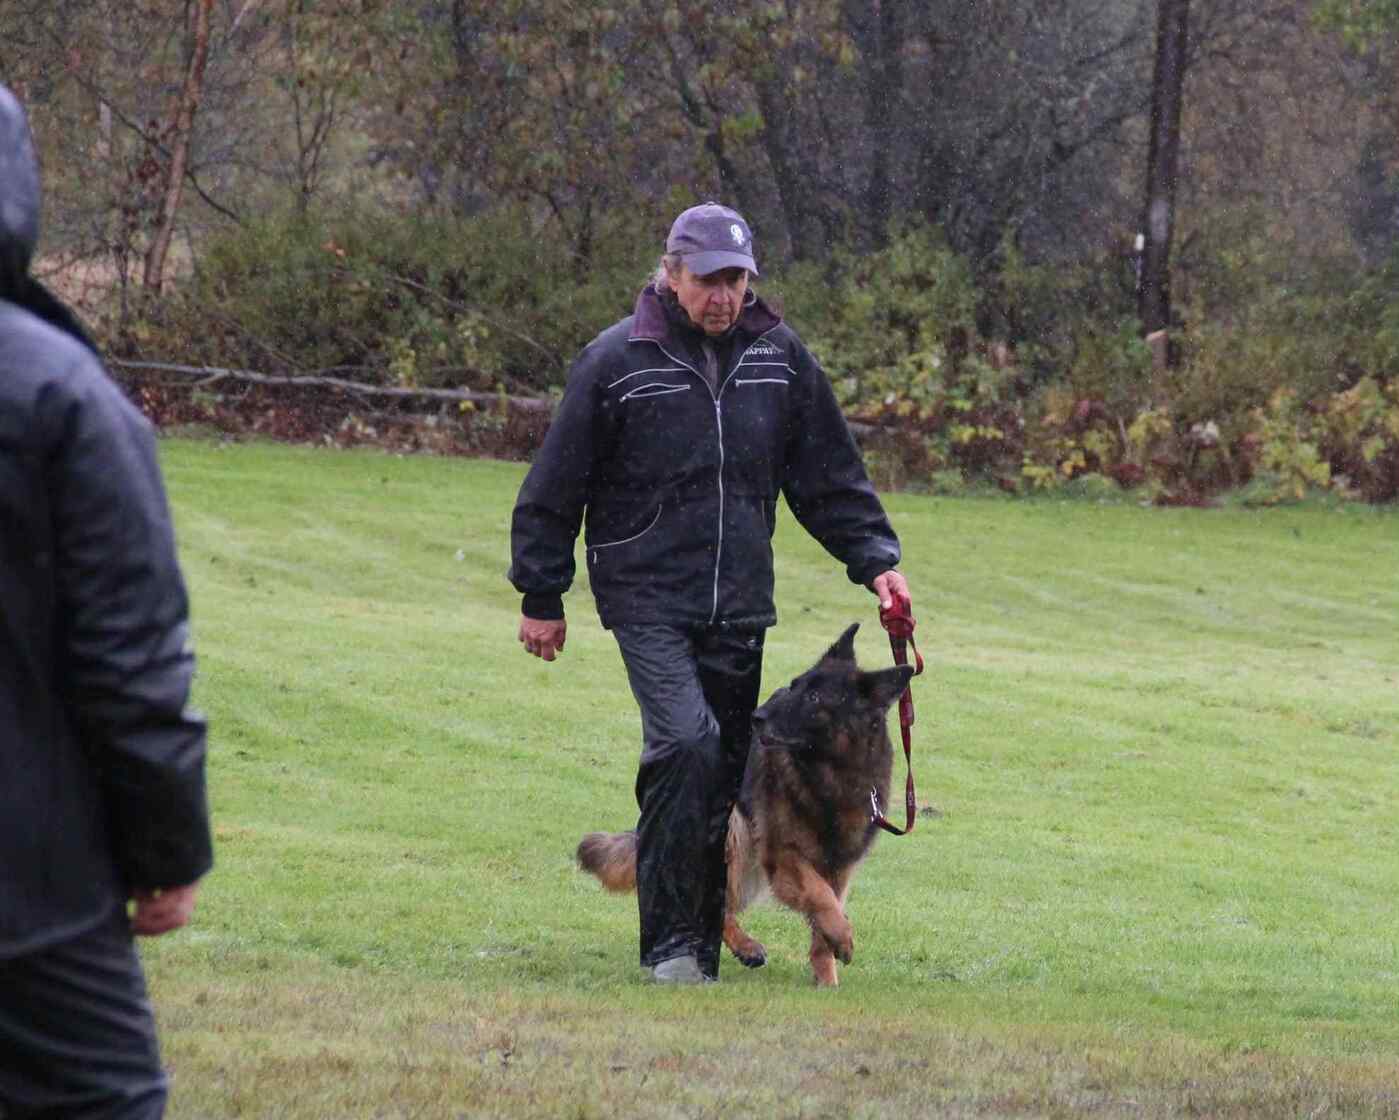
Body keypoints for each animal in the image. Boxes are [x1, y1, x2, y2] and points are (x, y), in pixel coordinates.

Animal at [577, 623, 915, 986]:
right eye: (794, 685)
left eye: (813, 698)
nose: (757, 717)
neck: (828, 774)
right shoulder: (784, 856)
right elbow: (820, 896)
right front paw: (844, 937)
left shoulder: (839, 866)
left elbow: (827, 911)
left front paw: (827, 973)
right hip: (735, 834)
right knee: (717, 901)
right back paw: (743, 946)